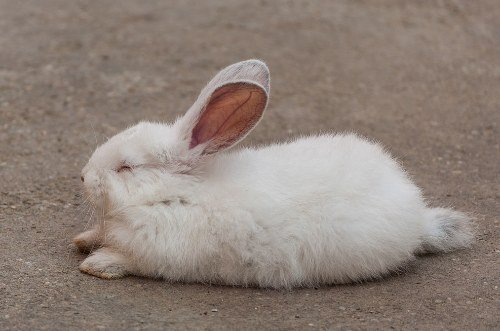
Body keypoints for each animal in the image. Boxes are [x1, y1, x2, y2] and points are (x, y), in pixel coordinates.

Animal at [74, 61, 472, 290]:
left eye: (127, 167)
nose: (83, 176)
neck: (173, 192)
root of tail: (419, 216)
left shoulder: (157, 254)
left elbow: (127, 260)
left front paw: (95, 264)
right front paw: (82, 239)